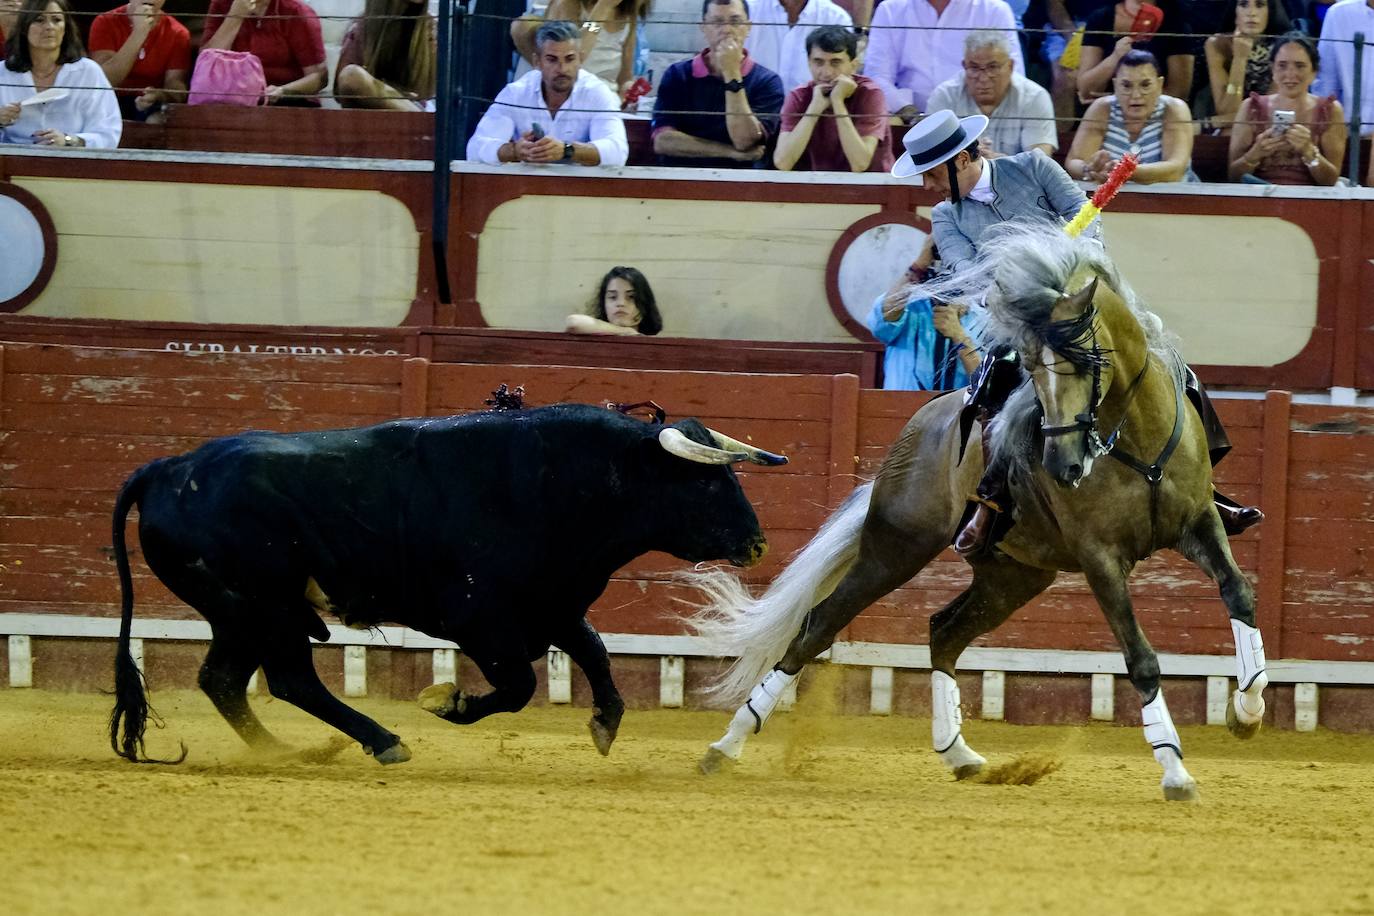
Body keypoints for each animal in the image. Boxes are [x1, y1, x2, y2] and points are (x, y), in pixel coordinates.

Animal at [109, 403, 785, 763]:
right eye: (706, 481)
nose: (757, 543)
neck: (565, 483)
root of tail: (169, 467)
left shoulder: (555, 605)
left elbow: (595, 653)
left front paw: (605, 725)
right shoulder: (479, 621)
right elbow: (519, 685)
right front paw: (447, 701)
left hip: (240, 614)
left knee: (223, 679)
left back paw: (284, 751)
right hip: (264, 608)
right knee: (290, 679)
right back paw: (381, 741)